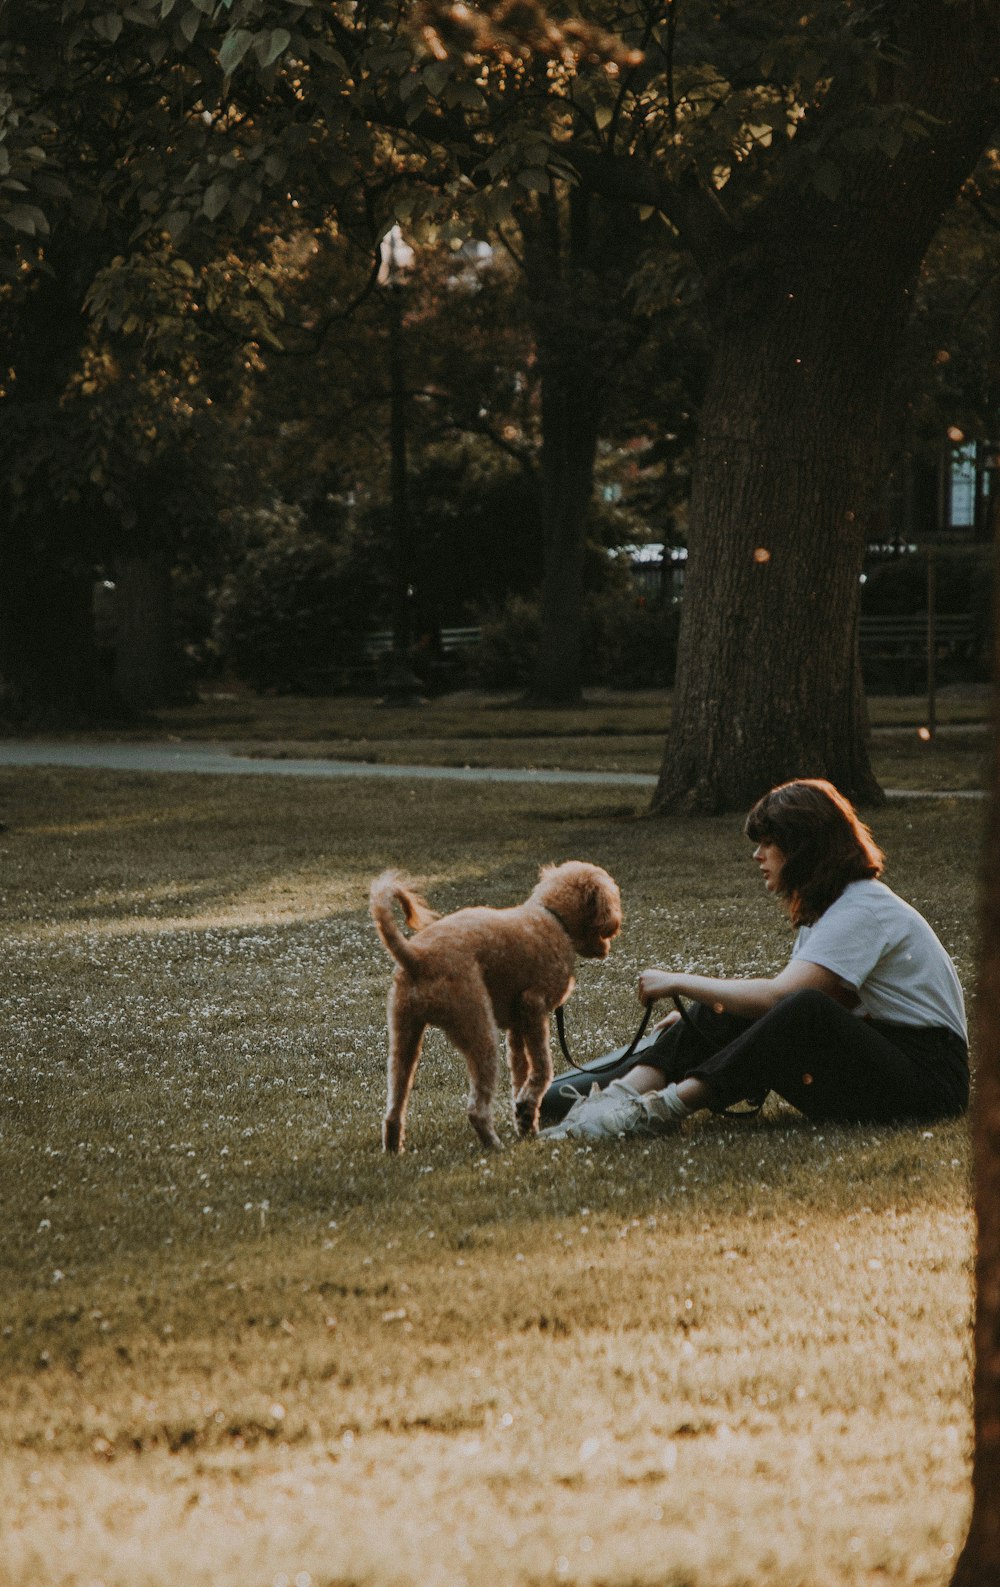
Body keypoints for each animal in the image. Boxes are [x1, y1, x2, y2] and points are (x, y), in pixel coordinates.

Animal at [373, 869, 622, 1155]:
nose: (616, 924)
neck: (554, 918)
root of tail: (416, 957)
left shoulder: (517, 1027)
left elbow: (520, 1074)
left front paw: (525, 1122)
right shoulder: (533, 1007)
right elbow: (542, 1069)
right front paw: (527, 1109)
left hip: (404, 1037)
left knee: (394, 1107)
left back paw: (393, 1148)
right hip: (480, 1032)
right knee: (476, 1110)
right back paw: (494, 1145)